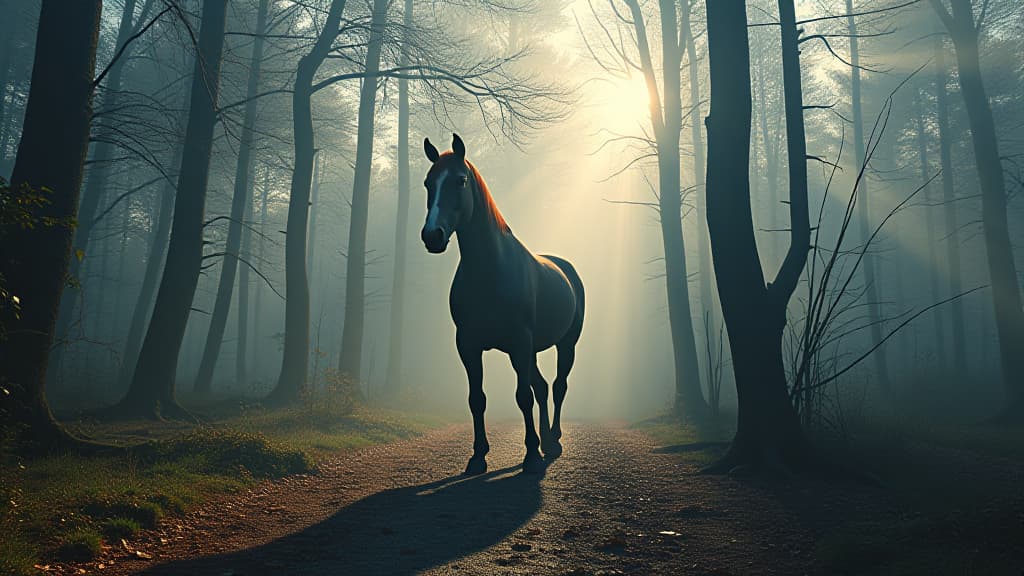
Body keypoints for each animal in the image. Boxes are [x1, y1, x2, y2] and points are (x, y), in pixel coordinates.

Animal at [419, 132, 585, 473]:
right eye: (428, 183)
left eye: (460, 180)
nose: (433, 235)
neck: (490, 270)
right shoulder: (468, 345)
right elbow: (477, 399)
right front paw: (478, 455)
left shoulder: (519, 341)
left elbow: (522, 396)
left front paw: (531, 454)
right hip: (529, 351)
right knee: (542, 386)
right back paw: (546, 440)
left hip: (565, 344)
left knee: (557, 386)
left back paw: (553, 441)